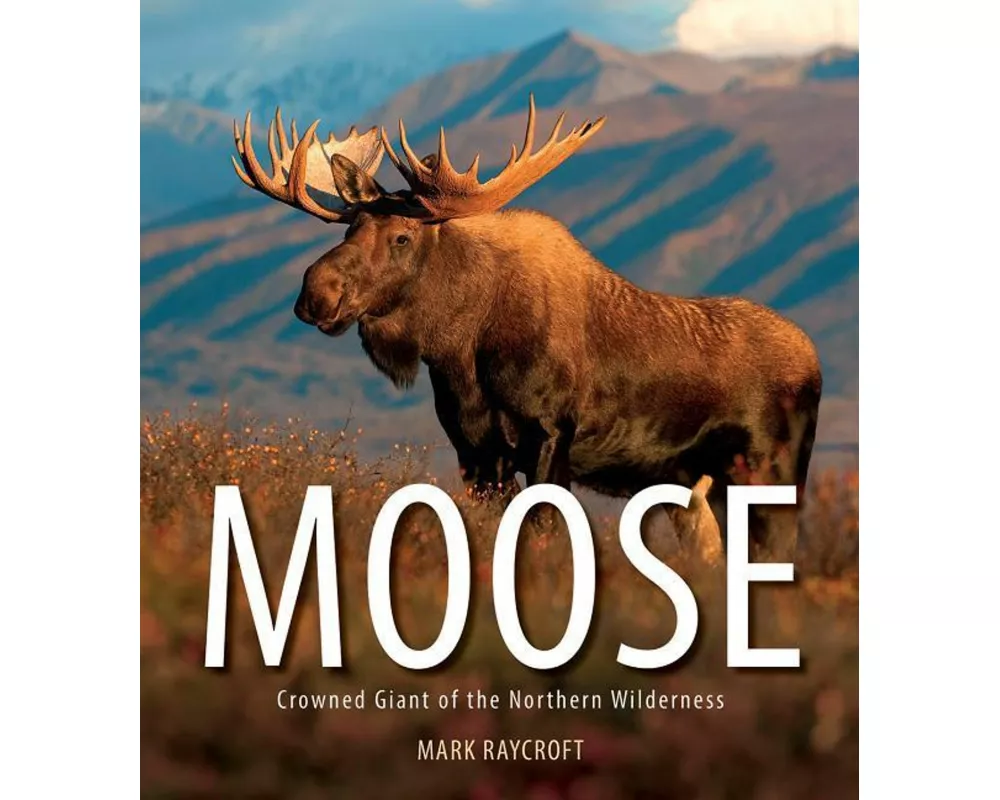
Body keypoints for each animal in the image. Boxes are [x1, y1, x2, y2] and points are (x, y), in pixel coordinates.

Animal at [230, 95, 823, 562]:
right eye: (350, 227)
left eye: (402, 236)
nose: (315, 295)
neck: (460, 351)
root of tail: (815, 364)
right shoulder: (474, 452)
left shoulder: (549, 435)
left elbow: (542, 535)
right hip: (697, 487)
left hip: (773, 474)